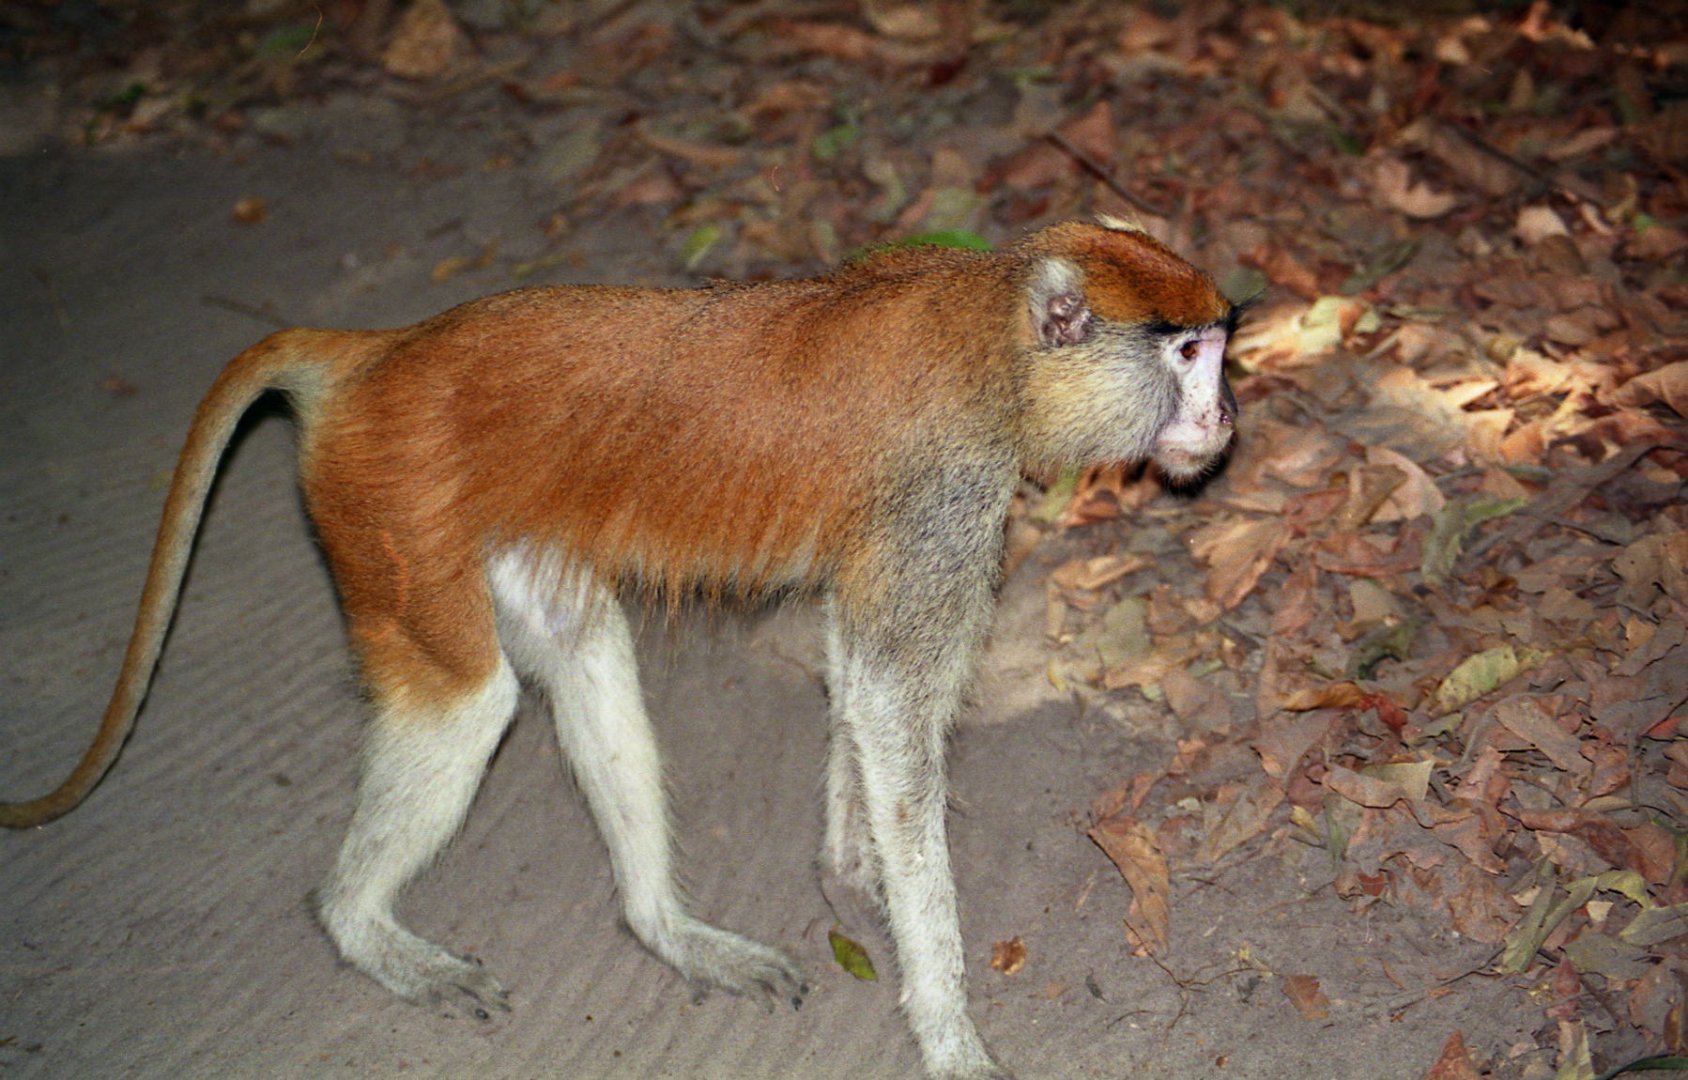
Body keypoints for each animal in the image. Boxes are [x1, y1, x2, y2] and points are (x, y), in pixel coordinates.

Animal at [2, 217, 1238, 1080]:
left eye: (1217, 348)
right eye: (1185, 351)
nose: (1222, 418)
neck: (989, 327)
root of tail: (374, 356)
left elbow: (859, 677)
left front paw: (851, 871)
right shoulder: (944, 491)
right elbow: (892, 705)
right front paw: (947, 1028)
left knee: (581, 647)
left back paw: (664, 929)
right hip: (387, 512)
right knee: (468, 703)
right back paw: (361, 928)